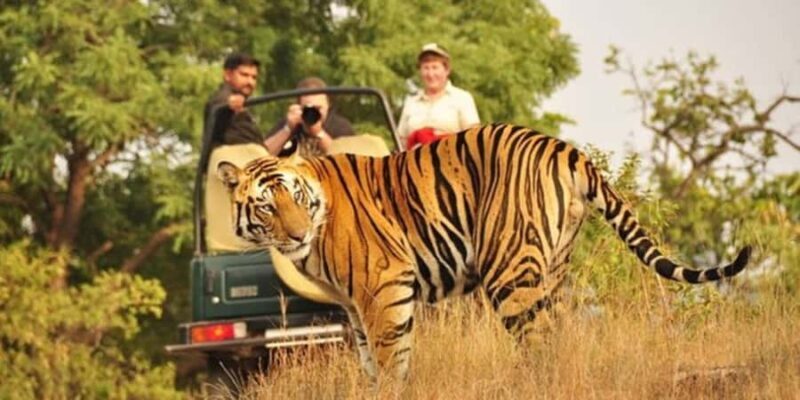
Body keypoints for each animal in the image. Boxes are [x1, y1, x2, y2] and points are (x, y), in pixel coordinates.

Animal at [216, 123, 751, 382]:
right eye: (267, 205)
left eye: (294, 196)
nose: (296, 235)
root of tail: (566, 149)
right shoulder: (354, 306)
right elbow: (371, 362)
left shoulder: (384, 287)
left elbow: (391, 361)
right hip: (552, 268)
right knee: (560, 335)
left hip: (509, 271)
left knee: (539, 342)